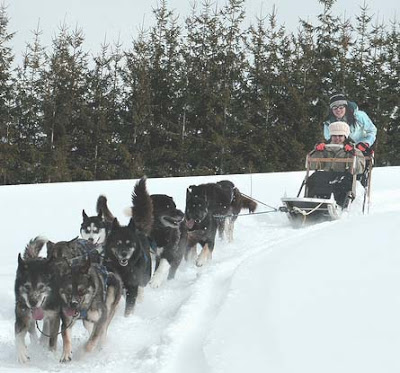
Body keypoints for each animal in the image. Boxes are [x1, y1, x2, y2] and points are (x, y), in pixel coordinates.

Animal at [103, 176, 153, 316]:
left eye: (129, 243)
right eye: (118, 243)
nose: (124, 254)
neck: (122, 269)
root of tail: (138, 230)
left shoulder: (132, 286)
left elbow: (129, 308)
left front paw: (127, 318)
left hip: (145, 276)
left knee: (141, 289)